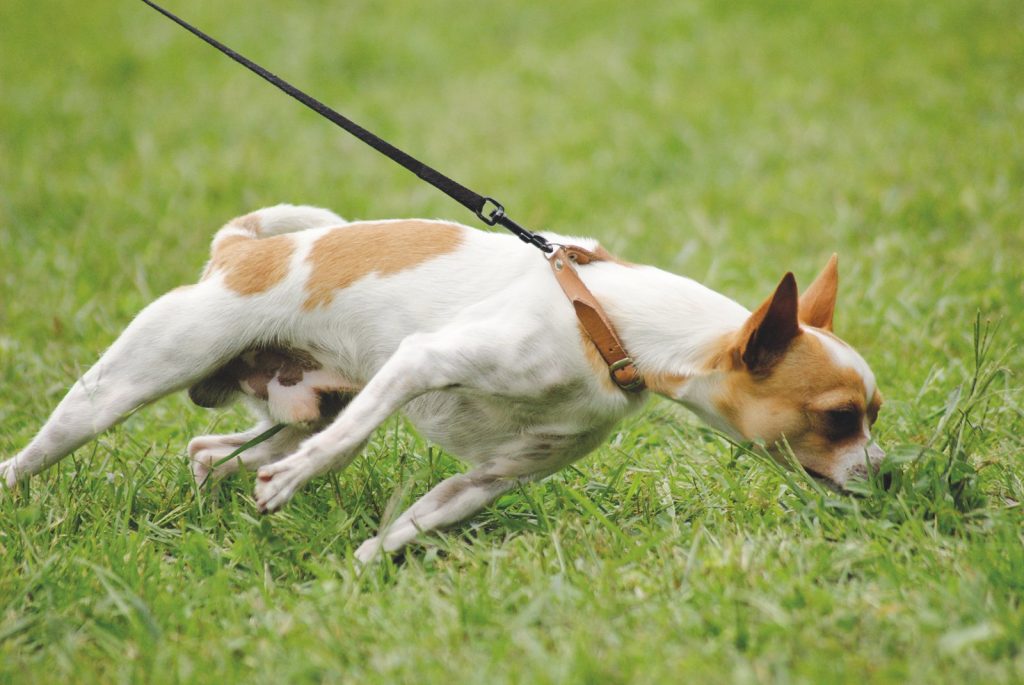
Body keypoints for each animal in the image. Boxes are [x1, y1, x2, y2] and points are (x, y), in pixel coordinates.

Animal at [0, 204, 880, 561]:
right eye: (841, 418)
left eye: (875, 413)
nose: (892, 475)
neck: (609, 321)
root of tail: (240, 249)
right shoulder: (424, 360)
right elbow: (351, 444)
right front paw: (302, 487)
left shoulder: (490, 478)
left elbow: (405, 529)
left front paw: (357, 572)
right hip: (122, 387)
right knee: (37, 452)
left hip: (302, 403)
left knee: (213, 451)